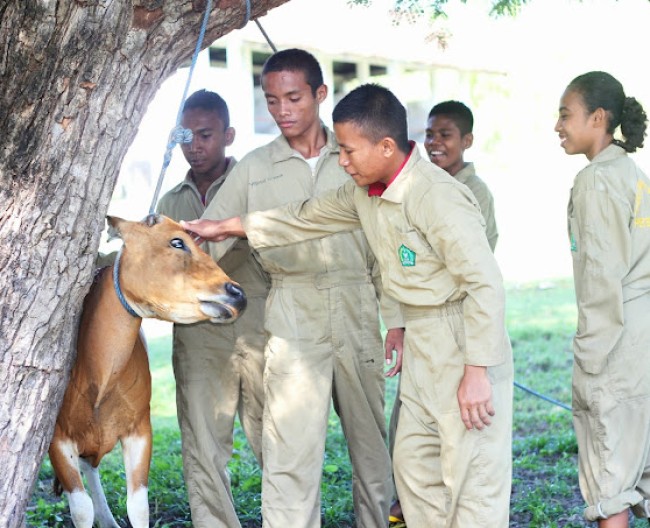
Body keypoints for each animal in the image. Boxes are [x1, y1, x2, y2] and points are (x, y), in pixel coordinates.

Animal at [48, 214, 246, 528]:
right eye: (177, 242)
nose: (237, 293)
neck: (99, 376)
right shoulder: (57, 437)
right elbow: (80, 508)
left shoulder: (140, 429)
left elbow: (138, 506)